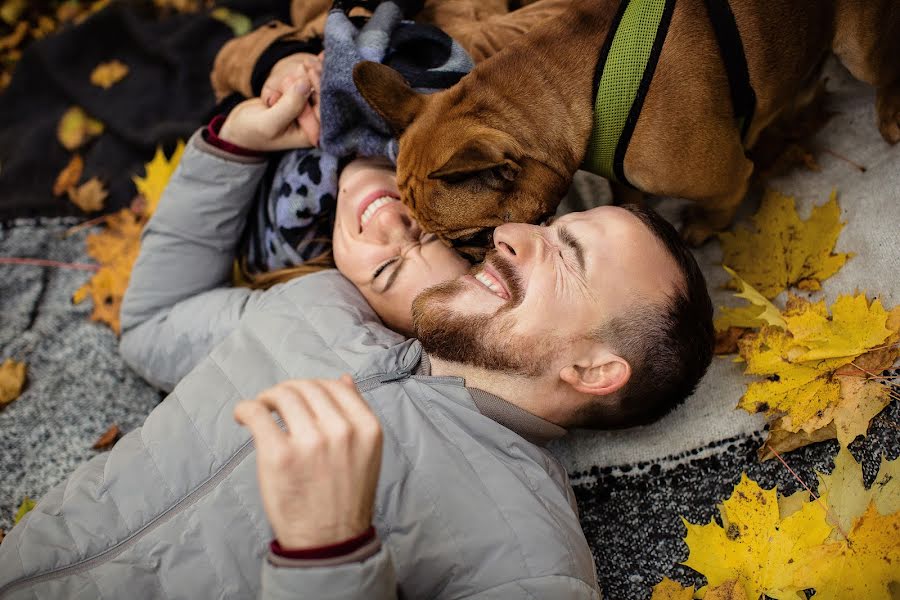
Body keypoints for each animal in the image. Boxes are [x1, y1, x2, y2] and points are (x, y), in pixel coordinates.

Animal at [354, 0, 900, 252]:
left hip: (859, 47)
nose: (468, 260)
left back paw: (889, 119)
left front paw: (704, 226)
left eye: (471, 238)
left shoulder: (726, 177)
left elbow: (721, 202)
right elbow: (625, 196)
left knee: (883, 74)